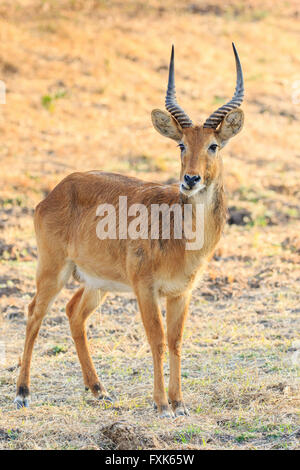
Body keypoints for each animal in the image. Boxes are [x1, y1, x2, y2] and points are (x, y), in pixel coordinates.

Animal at [15, 43, 244, 418]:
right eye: (181, 144)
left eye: (214, 145)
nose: (190, 179)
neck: (180, 234)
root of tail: (57, 190)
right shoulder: (145, 288)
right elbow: (157, 339)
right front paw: (162, 405)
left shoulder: (181, 292)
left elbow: (176, 340)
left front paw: (180, 403)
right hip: (53, 270)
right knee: (35, 311)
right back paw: (22, 393)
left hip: (96, 282)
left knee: (73, 313)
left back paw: (98, 390)